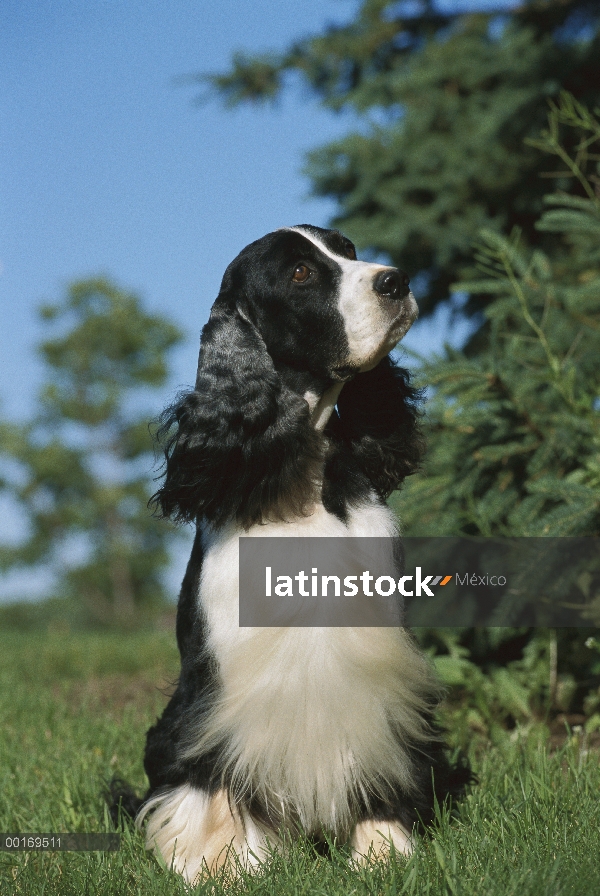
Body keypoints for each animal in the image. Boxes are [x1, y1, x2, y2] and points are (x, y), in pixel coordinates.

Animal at [111, 224, 468, 880]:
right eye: (300, 272)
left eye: (348, 251)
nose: (396, 280)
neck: (300, 474)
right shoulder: (219, 679)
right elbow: (216, 774)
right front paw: (222, 867)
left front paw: (383, 852)